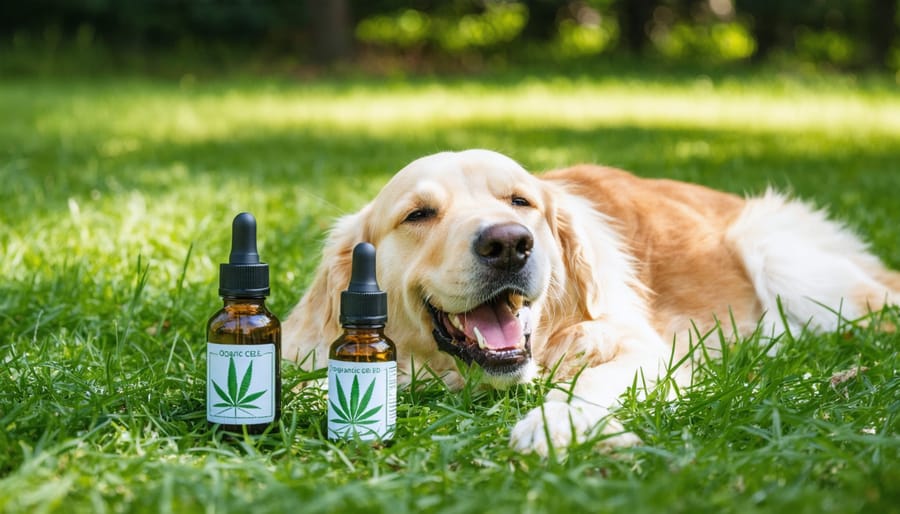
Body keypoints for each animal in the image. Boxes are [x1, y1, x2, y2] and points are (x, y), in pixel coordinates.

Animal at [284, 149, 900, 456]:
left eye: (520, 202)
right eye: (419, 214)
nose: (508, 244)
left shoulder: (644, 350)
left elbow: (592, 381)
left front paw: (557, 422)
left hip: (777, 252)